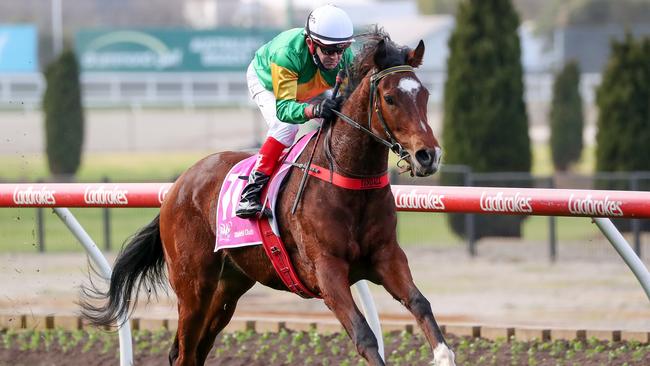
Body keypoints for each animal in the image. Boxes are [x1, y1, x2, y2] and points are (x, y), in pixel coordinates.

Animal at [81, 29, 454, 366]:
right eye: (390, 98)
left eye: (425, 94)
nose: (428, 155)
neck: (347, 181)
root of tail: (178, 186)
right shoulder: (327, 271)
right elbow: (364, 334)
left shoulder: (387, 257)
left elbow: (421, 304)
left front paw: (442, 355)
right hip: (193, 286)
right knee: (185, 352)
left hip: (229, 287)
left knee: (197, 350)